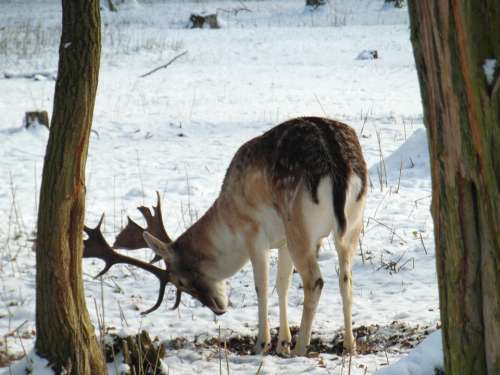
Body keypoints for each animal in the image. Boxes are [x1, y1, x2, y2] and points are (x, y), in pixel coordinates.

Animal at [84, 116, 368, 356]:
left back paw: (301, 349)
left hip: (299, 225)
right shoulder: (282, 240)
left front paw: (262, 344)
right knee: (346, 279)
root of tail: (338, 167)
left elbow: (262, 286)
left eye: (180, 281)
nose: (218, 309)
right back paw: (349, 345)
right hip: (350, 225)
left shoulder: (254, 232)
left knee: (315, 281)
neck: (228, 219)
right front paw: (282, 344)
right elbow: (282, 285)